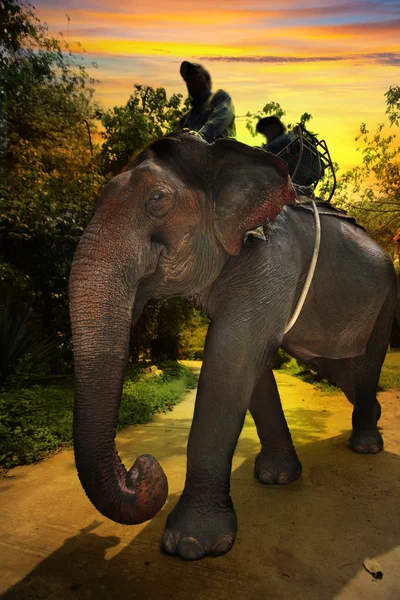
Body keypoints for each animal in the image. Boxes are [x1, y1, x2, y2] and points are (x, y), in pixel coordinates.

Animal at [69, 131, 396, 564]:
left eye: (157, 199)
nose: (142, 467)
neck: (217, 154)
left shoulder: (273, 257)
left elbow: (232, 352)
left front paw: (191, 546)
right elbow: (249, 361)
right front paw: (277, 477)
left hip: (387, 299)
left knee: (365, 366)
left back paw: (366, 446)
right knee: (344, 373)